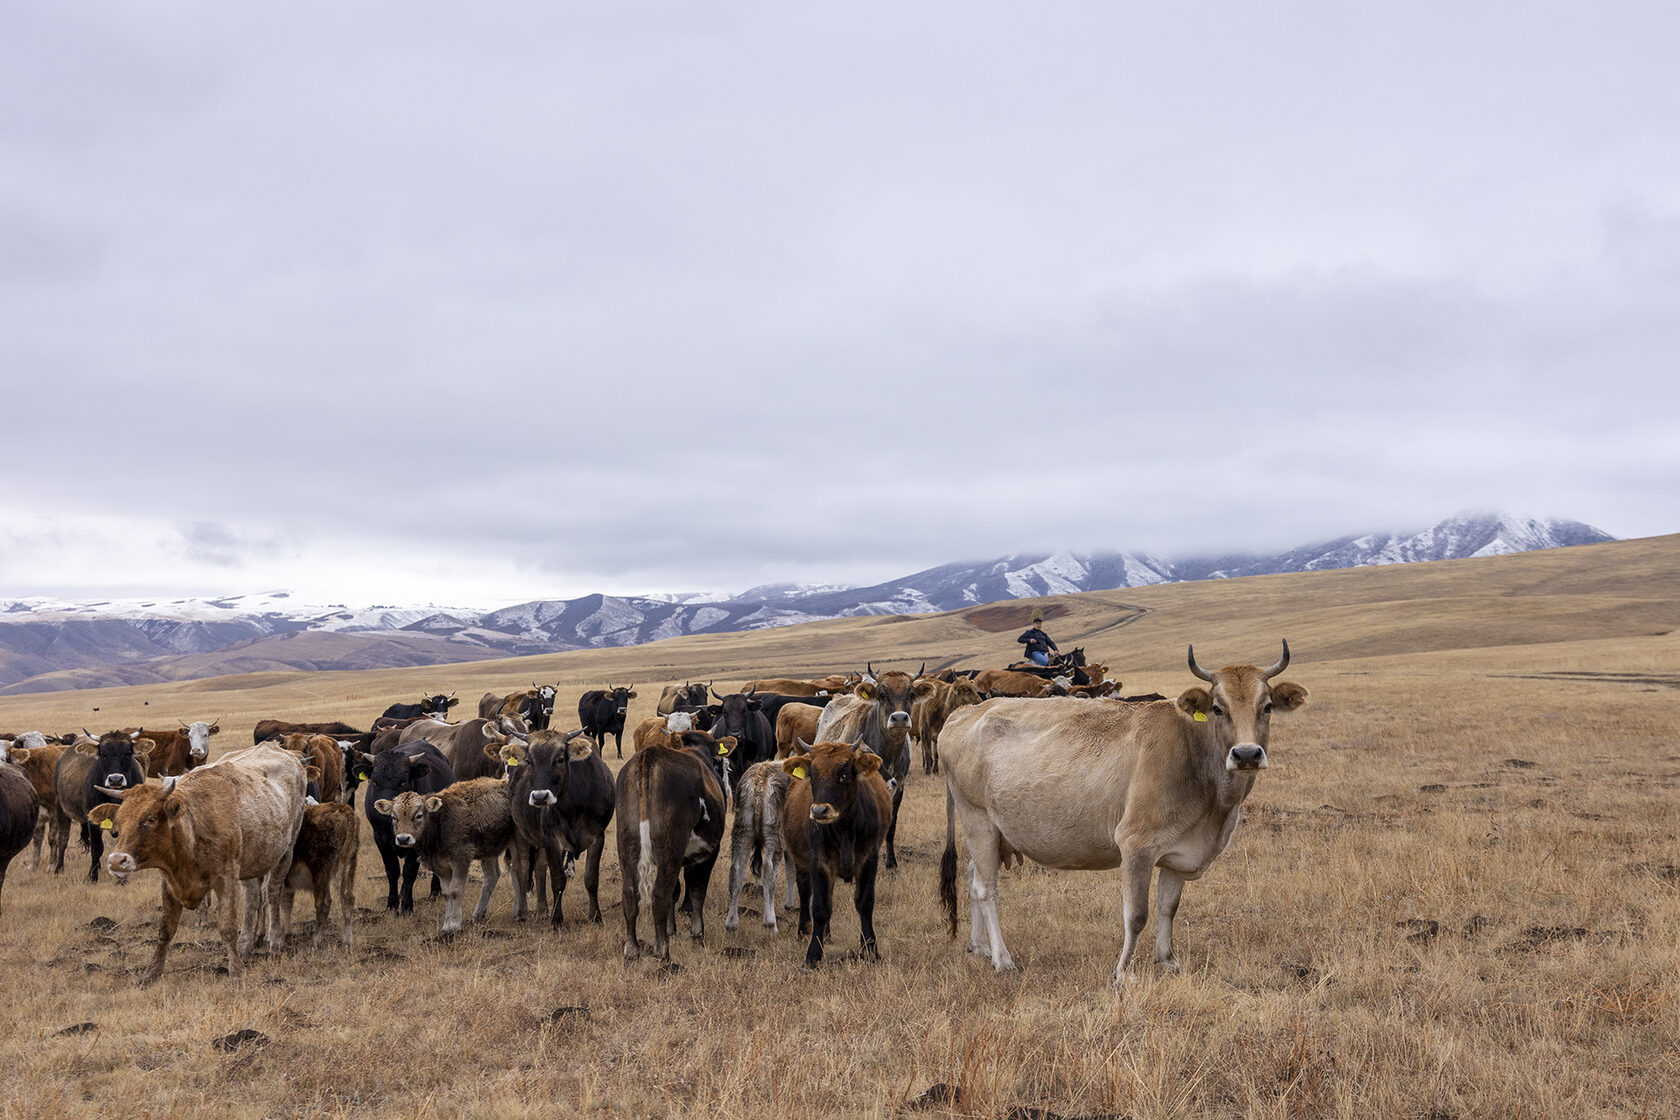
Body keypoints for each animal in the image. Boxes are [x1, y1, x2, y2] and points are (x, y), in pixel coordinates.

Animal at [277, 802, 359, 953]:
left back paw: (317, 939)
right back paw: (347, 939)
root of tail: (343, 809)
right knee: (348, 898)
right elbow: (287, 903)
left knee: (323, 902)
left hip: (320, 870)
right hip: (347, 865)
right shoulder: (287, 882)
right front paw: (287, 932)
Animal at [510, 728, 624, 926]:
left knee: (540, 868)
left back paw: (542, 910)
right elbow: (557, 880)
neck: (573, 807)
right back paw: (522, 913)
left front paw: (595, 916)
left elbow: (591, 879)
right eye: (530, 761)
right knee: (522, 869)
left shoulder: (598, 838)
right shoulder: (552, 841)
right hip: (520, 833)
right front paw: (557, 920)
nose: (540, 797)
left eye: (560, 759)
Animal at [614, 735, 725, 967]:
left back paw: (632, 950)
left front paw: (670, 928)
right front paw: (697, 934)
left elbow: (677, 891)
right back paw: (662, 950)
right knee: (660, 894)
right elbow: (696, 892)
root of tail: (651, 755)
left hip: (627, 846)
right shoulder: (708, 852)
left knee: (630, 894)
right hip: (669, 850)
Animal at [934, 648, 1310, 980]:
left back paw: (979, 947)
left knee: (972, 876)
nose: (1246, 754)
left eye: (1267, 706)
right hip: (978, 819)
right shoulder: (1136, 845)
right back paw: (1002, 959)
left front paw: (1167, 961)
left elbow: (1168, 907)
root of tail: (964, 712)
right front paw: (1123, 972)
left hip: (995, 832)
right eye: (1218, 708)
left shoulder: (1179, 851)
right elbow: (1137, 915)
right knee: (986, 889)